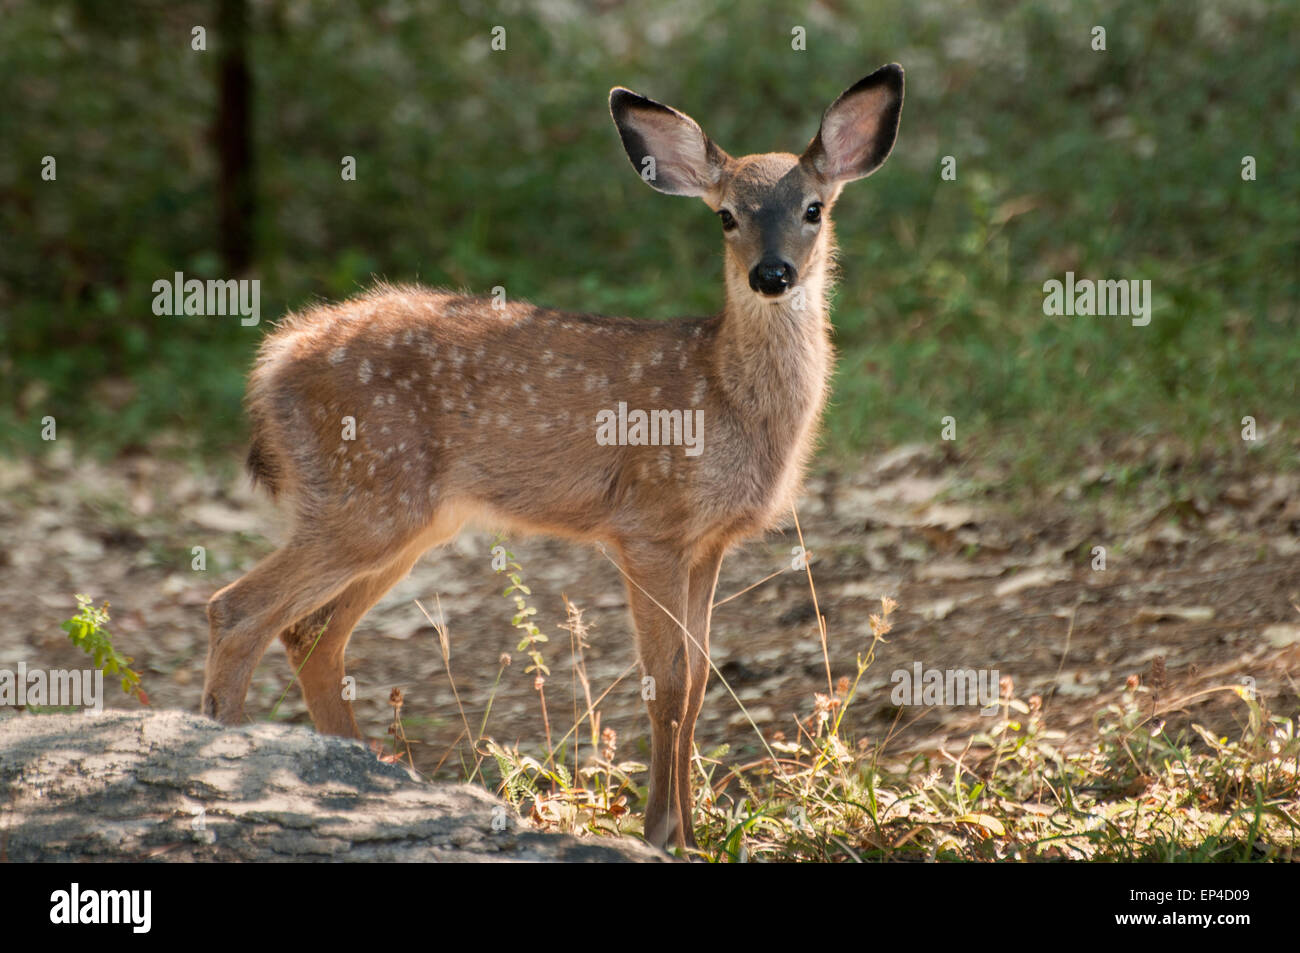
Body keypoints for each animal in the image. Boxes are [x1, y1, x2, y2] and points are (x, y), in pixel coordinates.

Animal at [202, 65, 909, 847]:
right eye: (726, 216)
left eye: (814, 208)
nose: (772, 274)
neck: (723, 394)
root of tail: (271, 365)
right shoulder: (647, 526)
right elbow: (667, 681)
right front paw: (661, 833)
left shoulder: (708, 542)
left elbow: (698, 681)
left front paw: (693, 835)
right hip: (367, 497)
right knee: (236, 610)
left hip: (403, 520)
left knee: (310, 633)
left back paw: (364, 771)